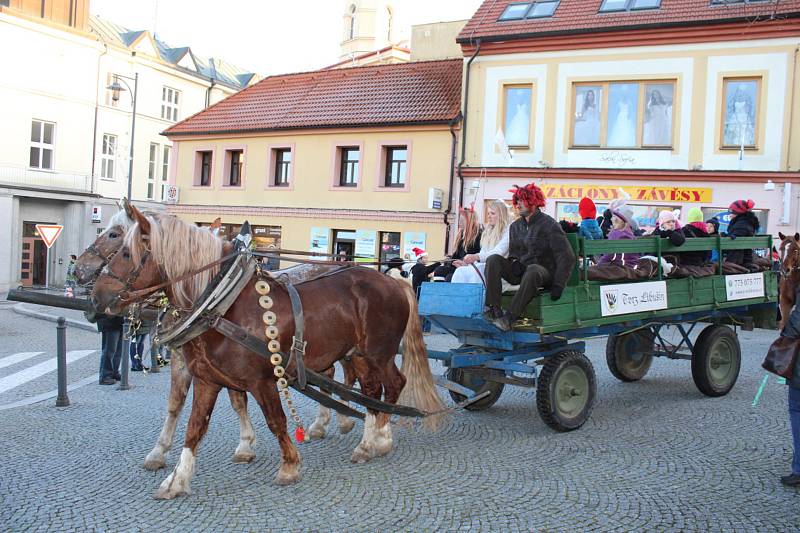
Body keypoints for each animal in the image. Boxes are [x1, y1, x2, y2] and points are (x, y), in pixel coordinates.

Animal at [94, 206, 446, 496]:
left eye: (124, 251)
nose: (96, 295)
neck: (223, 305)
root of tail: (394, 280)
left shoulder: (262, 380)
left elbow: (276, 420)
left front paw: (289, 466)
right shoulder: (208, 379)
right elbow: (195, 427)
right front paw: (177, 480)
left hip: (378, 353)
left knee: (393, 385)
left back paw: (380, 438)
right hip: (358, 354)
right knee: (372, 390)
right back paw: (369, 442)